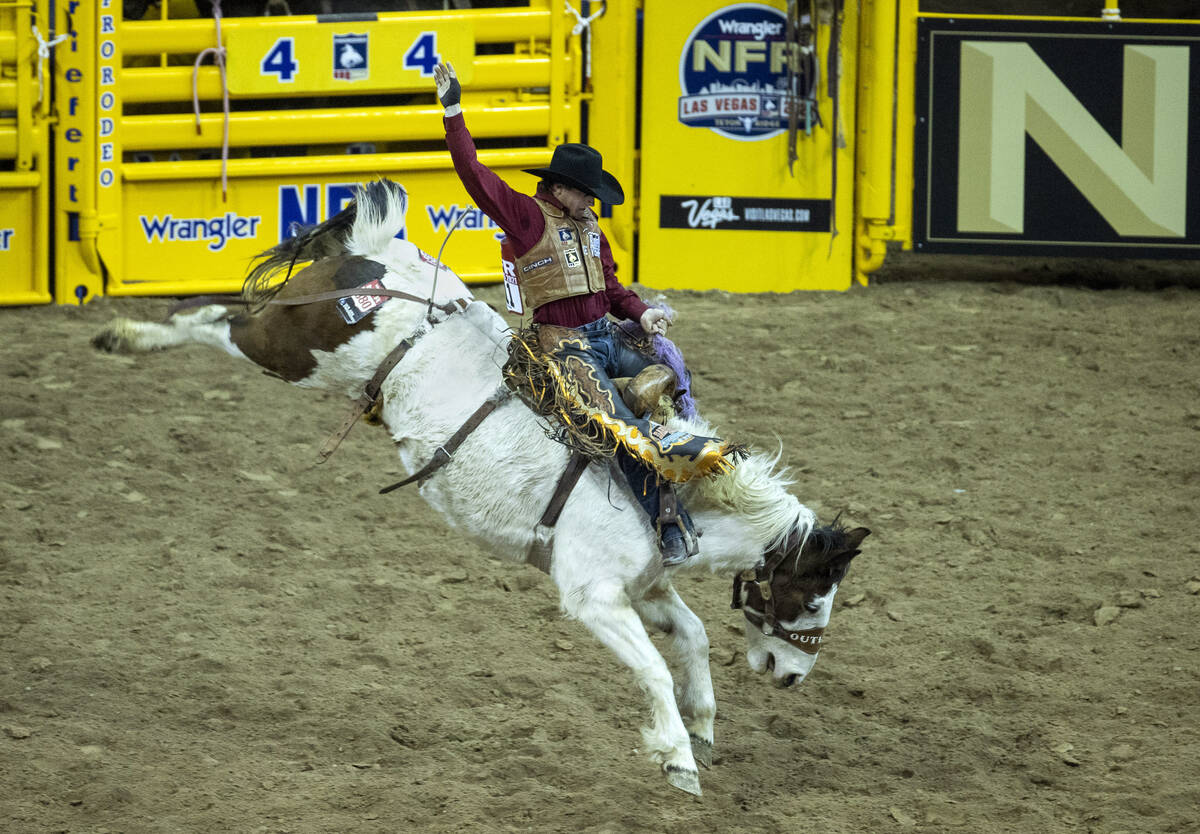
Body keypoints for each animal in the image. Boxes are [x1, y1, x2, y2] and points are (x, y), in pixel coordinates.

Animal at [88, 180, 868, 801]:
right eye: (811, 597)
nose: (792, 676)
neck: (666, 486)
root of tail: (379, 252)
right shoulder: (593, 596)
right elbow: (651, 665)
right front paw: (677, 759)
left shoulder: (645, 585)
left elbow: (694, 635)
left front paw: (703, 723)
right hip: (292, 345)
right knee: (215, 320)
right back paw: (124, 335)